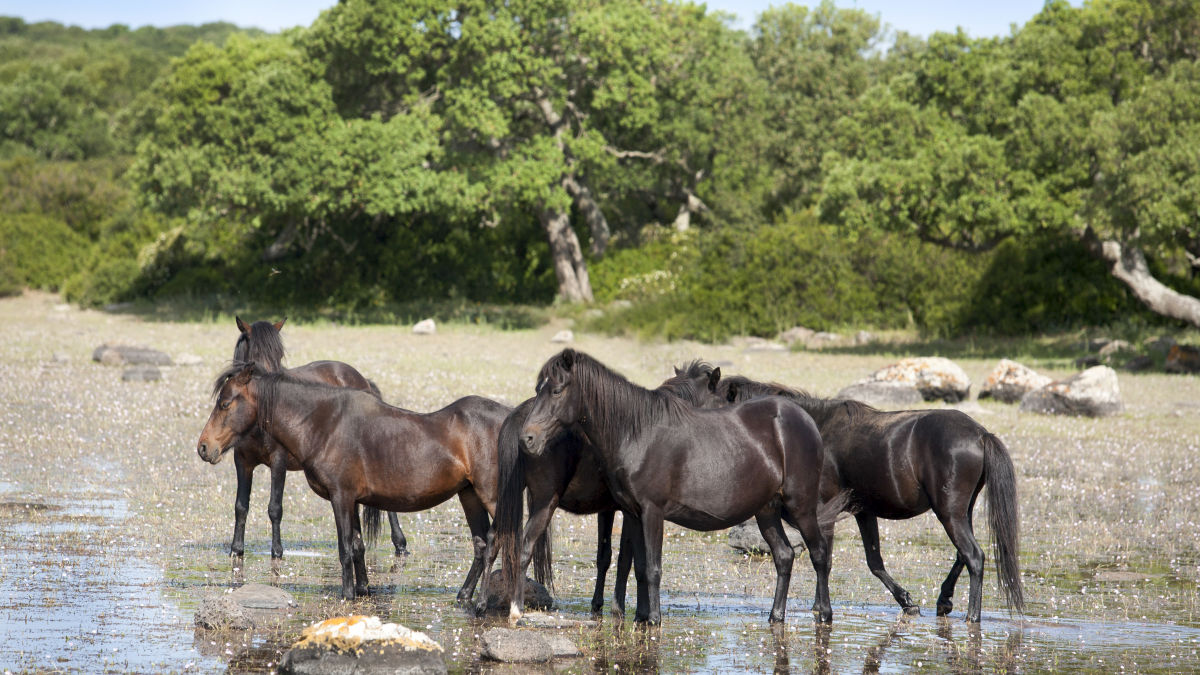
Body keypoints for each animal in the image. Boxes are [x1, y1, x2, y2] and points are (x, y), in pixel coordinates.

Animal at [196, 317, 408, 559]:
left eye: (278, 356)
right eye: (254, 356)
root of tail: (362, 379)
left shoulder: (278, 461)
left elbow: (275, 507)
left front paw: (277, 551)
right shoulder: (242, 462)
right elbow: (241, 506)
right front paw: (236, 549)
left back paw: (400, 543)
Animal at [477, 360, 720, 619]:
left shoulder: (609, 510)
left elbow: (605, 556)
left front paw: (599, 604)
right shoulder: (631, 513)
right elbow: (628, 559)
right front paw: (625, 609)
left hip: (507, 498)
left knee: (493, 540)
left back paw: (481, 603)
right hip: (544, 502)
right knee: (524, 547)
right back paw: (516, 608)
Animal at [518, 348, 844, 624]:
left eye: (557, 390)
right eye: (537, 389)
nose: (527, 438)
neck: (637, 432)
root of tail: (804, 419)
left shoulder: (653, 512)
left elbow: (652, 568)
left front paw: (654, 620)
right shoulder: (632, 513)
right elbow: (638, 566)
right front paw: (641, 618)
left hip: (800, 506)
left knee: (819, 554)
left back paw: (824, 613)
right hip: (767, 511)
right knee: (784, 556)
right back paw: (776, 616)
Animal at [715, 372, 1027, 619]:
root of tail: (981, 434)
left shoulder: (823, 510)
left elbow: (825, 555)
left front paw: (819, 607)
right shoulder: (863, 511)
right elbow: (874, 562)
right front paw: (906, 602)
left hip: (949, 513)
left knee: (973, 556)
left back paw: (972, 616)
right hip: (960, 511)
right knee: (963, 554)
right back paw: (944, 601)